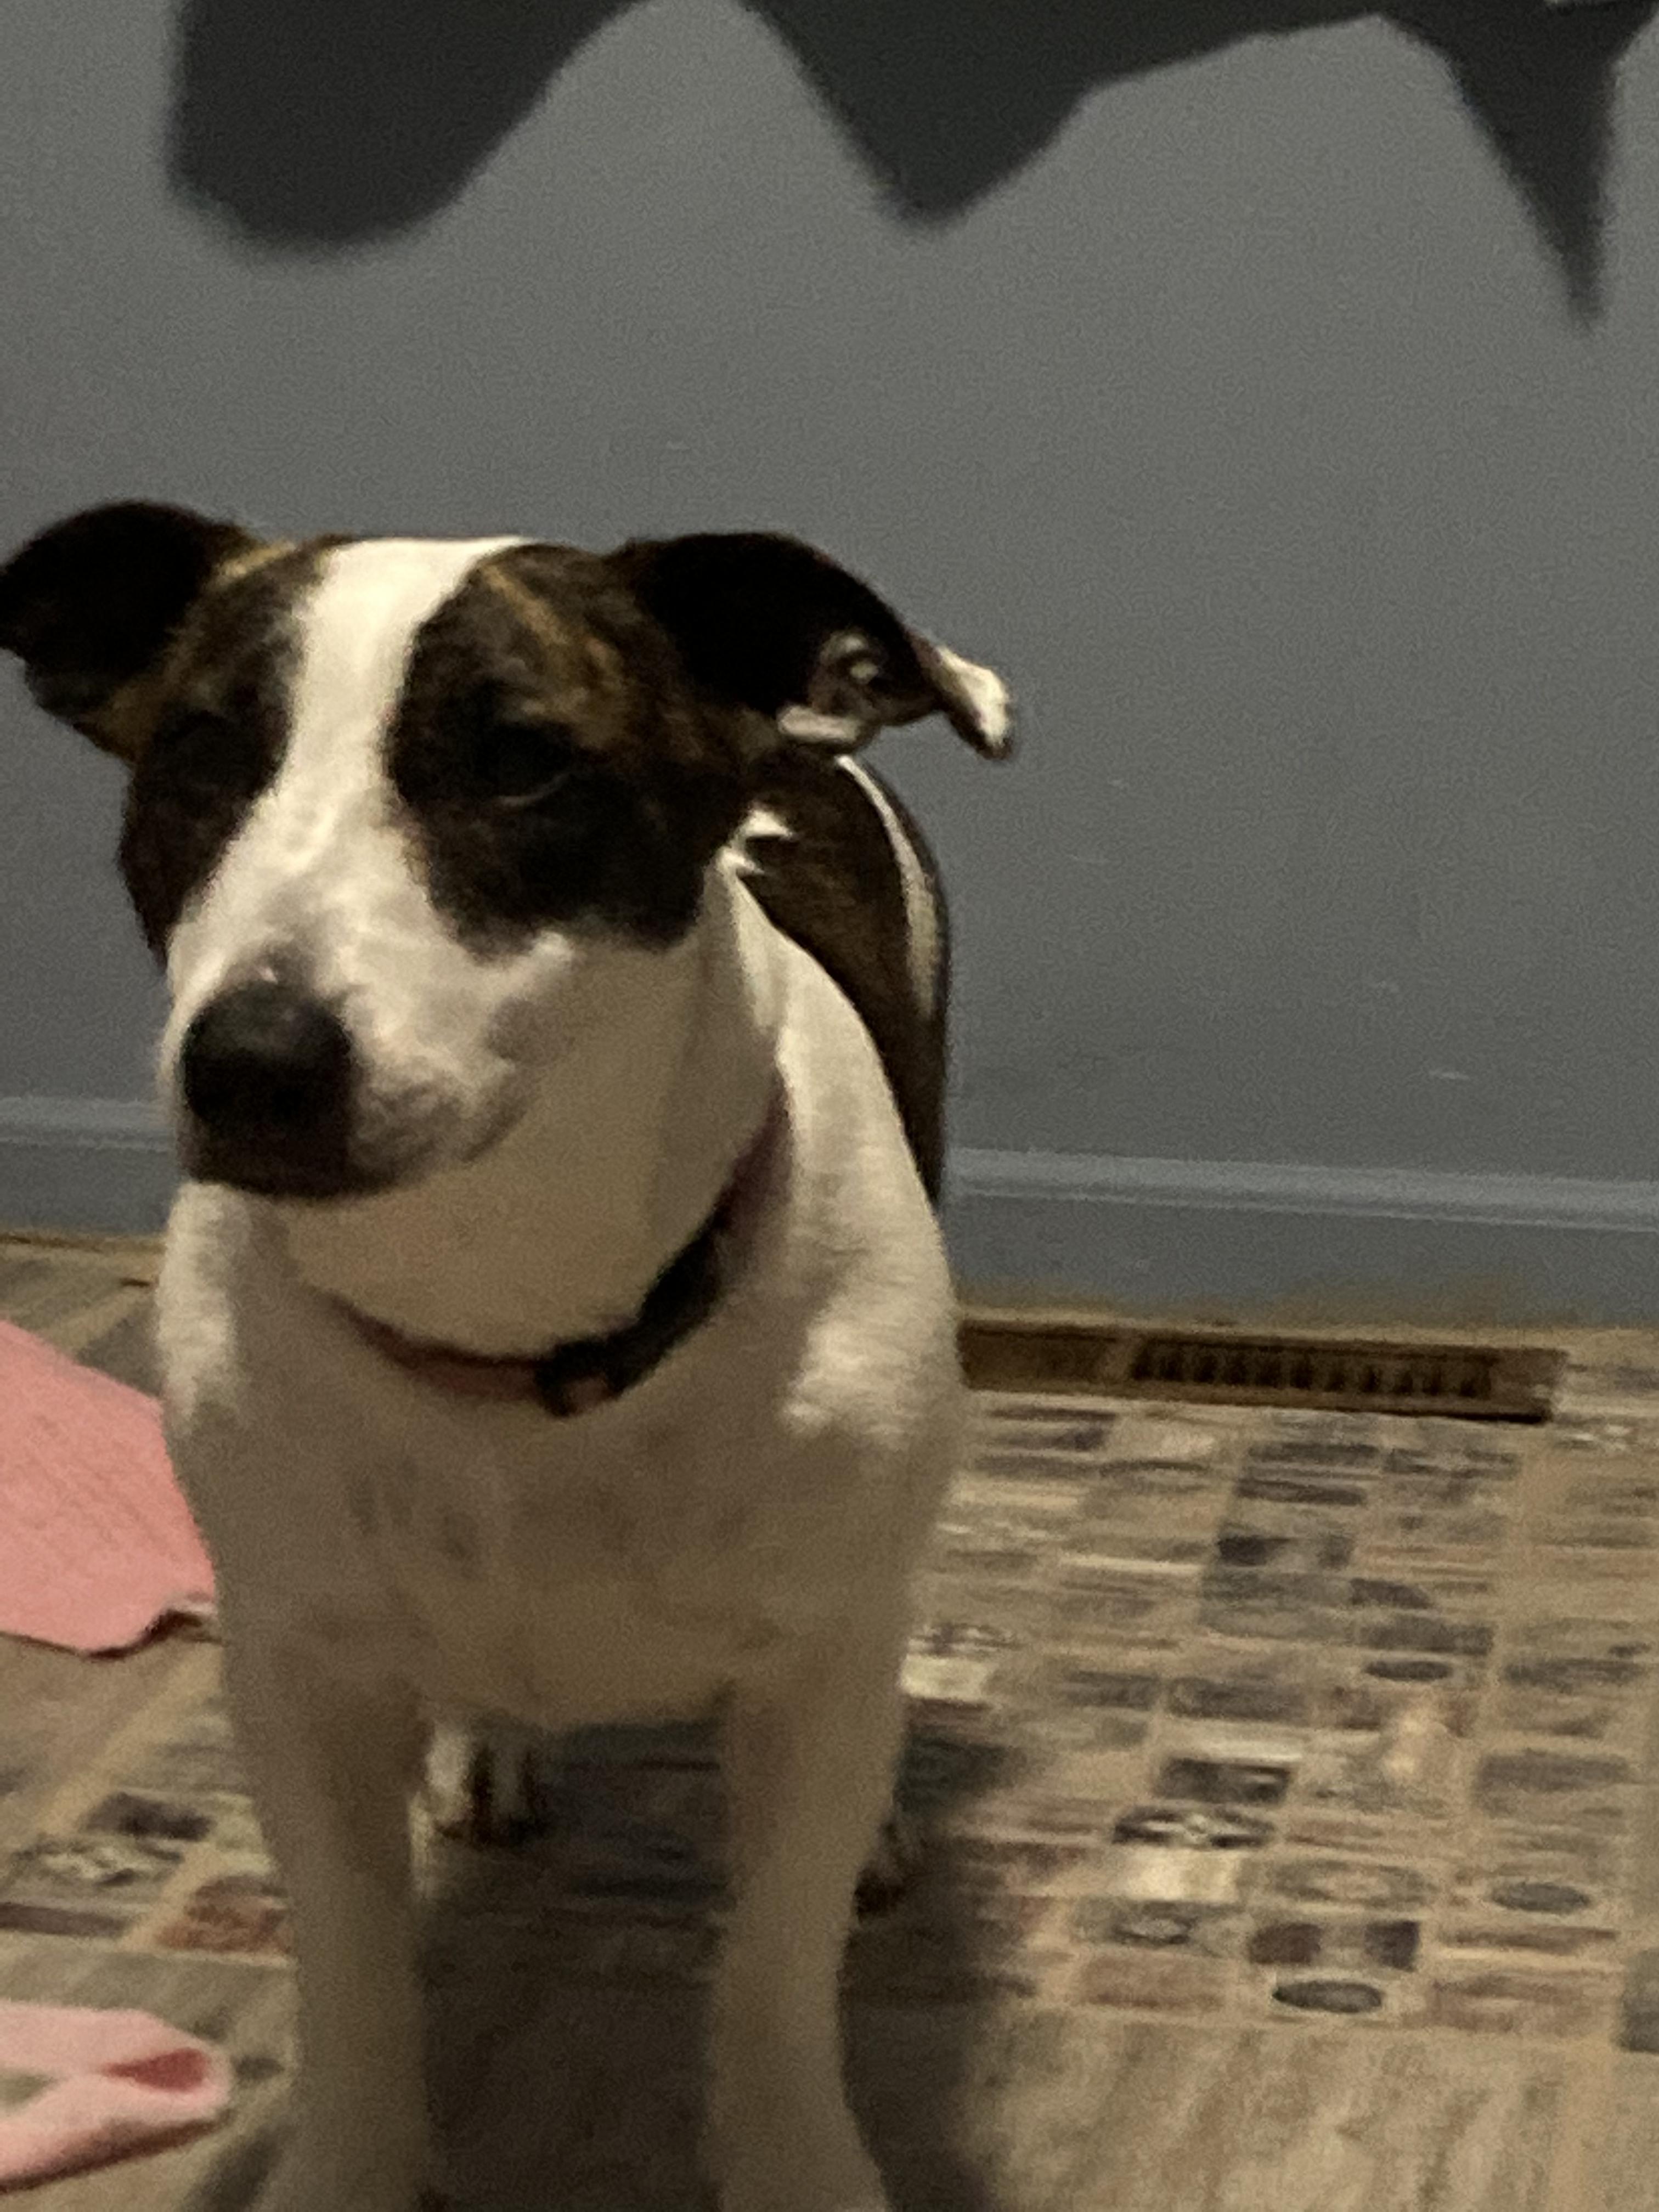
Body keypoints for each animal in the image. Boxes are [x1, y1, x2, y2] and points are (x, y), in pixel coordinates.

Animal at [0, 503, 1011, 2212]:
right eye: (201, 754)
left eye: (529, 762)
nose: (252, 1066)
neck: (504, 1294)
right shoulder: (301, 1675)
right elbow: (350, 1972)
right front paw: (349, 2166)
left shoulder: (811, 1670)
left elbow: (772, 1966)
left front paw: (793, 2152)